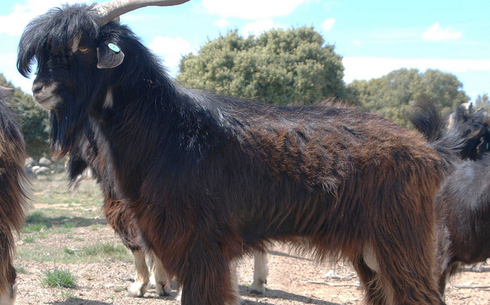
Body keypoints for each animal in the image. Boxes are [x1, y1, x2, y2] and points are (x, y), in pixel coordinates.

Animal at [17, 1, 462, 302]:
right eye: (42, 53)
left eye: (81, 46)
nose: (39, 88)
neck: (167, 129)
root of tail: (427, 150)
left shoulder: (202, 249)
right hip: (370, 251)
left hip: (400, 242)